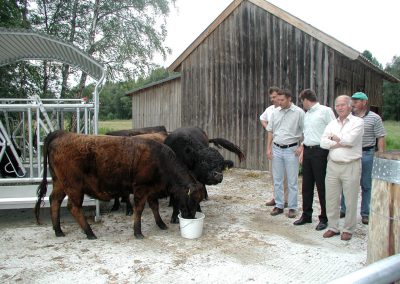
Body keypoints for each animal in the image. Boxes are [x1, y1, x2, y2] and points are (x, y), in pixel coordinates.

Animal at [34, 131, 203, 240]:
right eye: (192, 202)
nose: (190, 217)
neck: (160, 160)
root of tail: (61, 134)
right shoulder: (141, 188)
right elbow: (139, 209)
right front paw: (138, 232)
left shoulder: (151, 190)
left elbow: (154, 206)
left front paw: (161, 224)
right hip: (73, 186)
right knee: (74, 207)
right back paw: (89, 232)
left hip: (59, 183)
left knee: (54, 200)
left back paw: (58, 230)